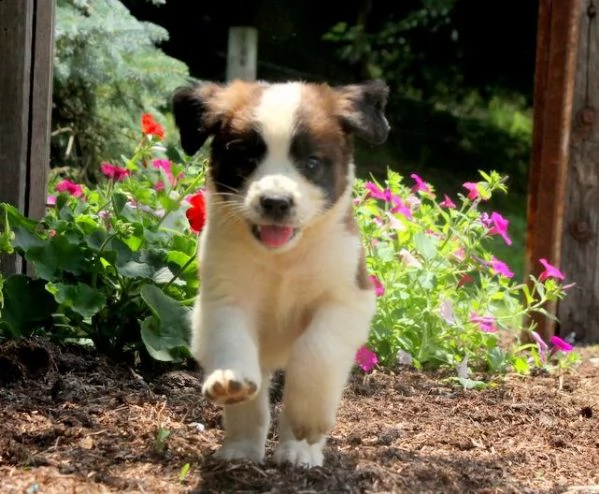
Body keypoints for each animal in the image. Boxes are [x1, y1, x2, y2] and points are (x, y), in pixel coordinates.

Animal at [171, 77, 392, 466]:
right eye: (246, 159)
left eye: (311, 162)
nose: (275, 202)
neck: (283, 260)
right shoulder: (223, 297)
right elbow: (230, 339)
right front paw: (229, 378)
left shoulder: (349, 299)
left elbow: (316, 350)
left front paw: (308, 419)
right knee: (252, 408)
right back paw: (241, 449)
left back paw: (299, 451)